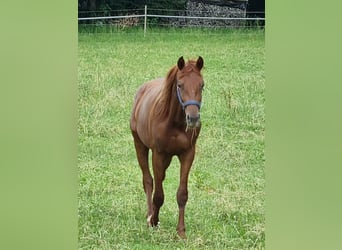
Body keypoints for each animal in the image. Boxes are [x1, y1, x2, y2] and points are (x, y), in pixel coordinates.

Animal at [130, 55, 204, 237]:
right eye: (180, 85)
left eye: (202, 85)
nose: (193, 118)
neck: (174, 122)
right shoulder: (158, 154)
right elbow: (158, 194)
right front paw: (154, 221)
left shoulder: (187, 154)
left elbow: (182, 194)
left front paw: (181, 232)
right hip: (139, 145)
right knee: (148, 180)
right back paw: (149, 215)